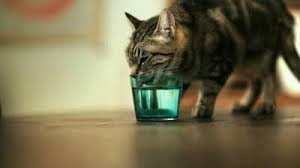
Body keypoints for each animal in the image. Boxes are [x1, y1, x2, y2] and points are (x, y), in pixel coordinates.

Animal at [124, 0, 300, 119]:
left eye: (144, 58)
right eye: (129, 59)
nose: (132, 74)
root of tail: (285, 11)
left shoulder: (223, 63)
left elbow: (209, 88)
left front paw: (203, 109)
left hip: (262, 54)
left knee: (269, 77)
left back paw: (267, 104)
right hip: (246, 62)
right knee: (256, 83)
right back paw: (244, 105)